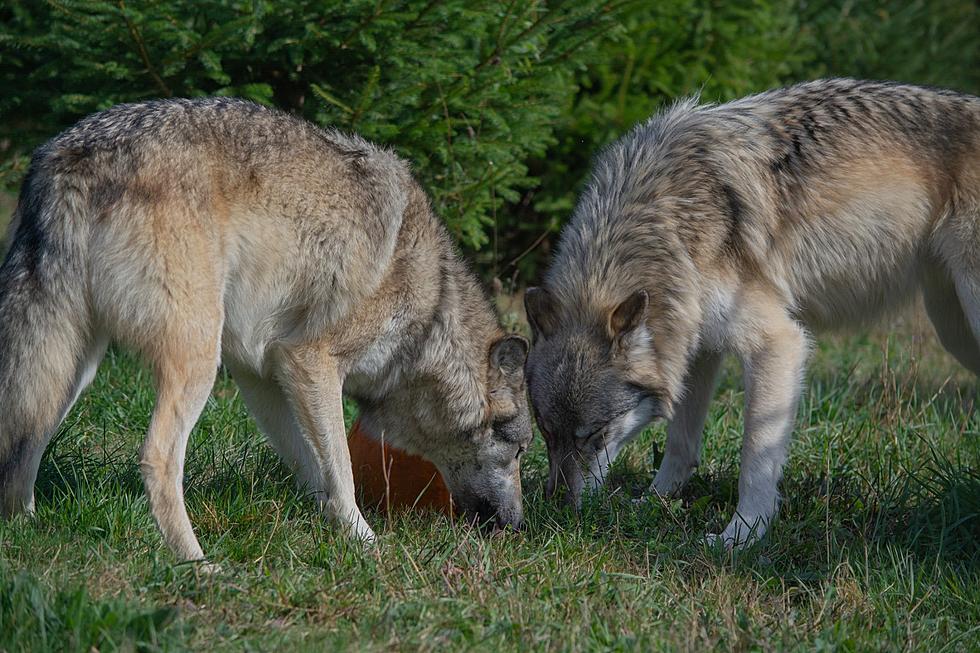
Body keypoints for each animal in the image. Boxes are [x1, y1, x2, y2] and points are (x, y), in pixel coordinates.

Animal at [0, 97, 532, 560]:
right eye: (519, 449)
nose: (518, 526)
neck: (430, 312)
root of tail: (67, 159)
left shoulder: (260, 374)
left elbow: (314, 468)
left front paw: (335, 529)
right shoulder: (310, 362)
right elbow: (341, 469)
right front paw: (368, 543)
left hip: (73, 367)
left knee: (26, 438)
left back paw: (27, 532)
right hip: (196, 360)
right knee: (156, 458)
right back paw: (196, 563)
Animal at [524, 79, 980, 548]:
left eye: (594, 435)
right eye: (545, 431)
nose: (557, 509)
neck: (666, 213)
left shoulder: (777, 343)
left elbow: (756, 456)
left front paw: (740, 537)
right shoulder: (696, 345)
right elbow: (680, 443)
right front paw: (652, 503)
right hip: (954, 330)